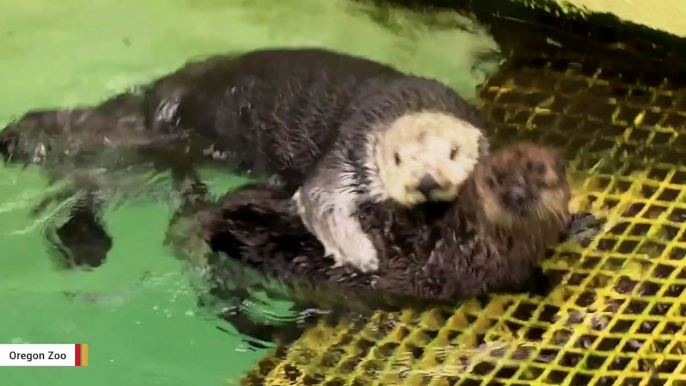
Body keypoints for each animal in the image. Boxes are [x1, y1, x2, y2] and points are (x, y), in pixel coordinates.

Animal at [0, 47, 490, 272]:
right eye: (397, 158)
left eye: (453, 153)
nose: (426, 183)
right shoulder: (349, 149)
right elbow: (320, 197)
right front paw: (359, 253)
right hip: (135, 144)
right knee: (84, 179)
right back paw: (81, 240)